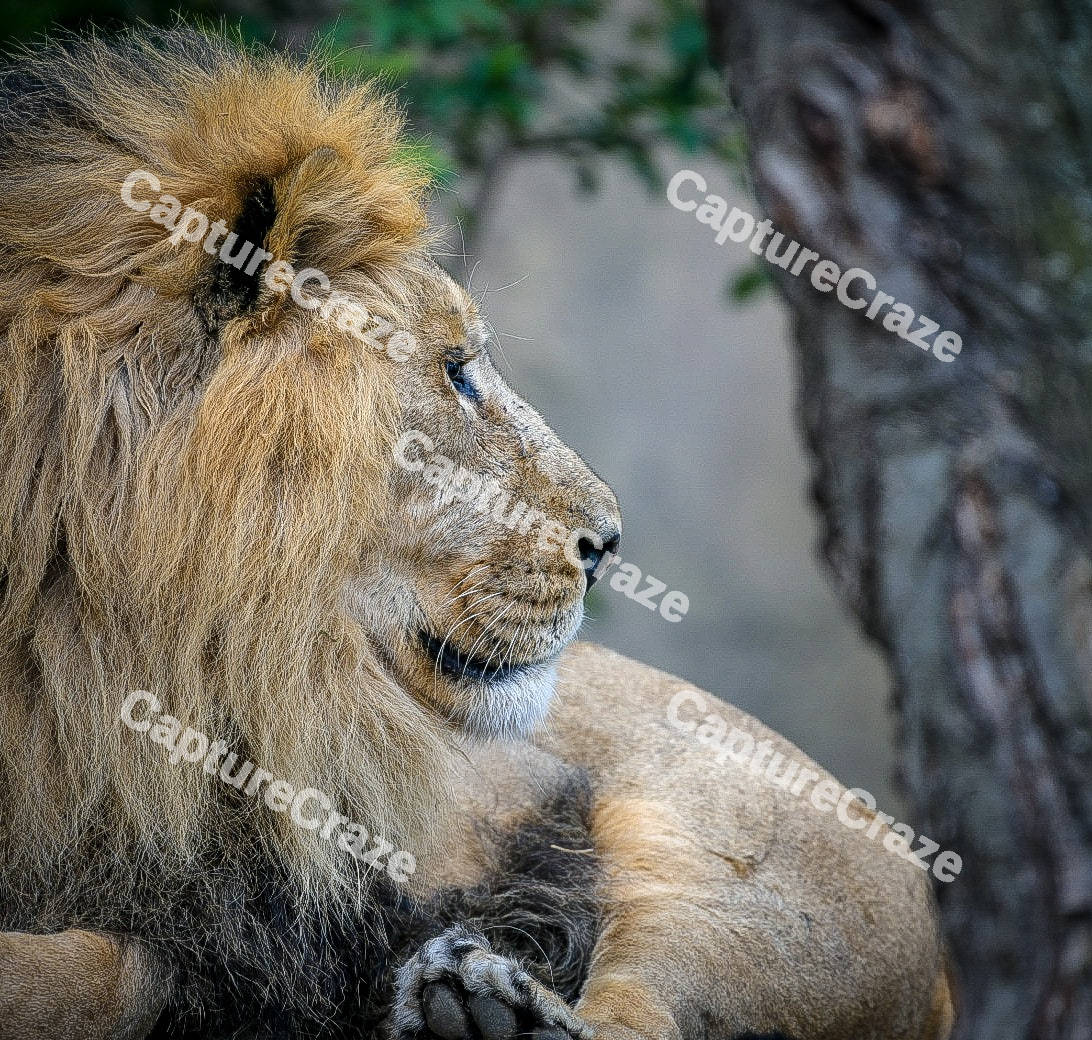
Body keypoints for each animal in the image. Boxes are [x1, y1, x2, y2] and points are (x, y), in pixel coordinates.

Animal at [0, 27, 953, 1040]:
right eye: (457, 372)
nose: (609, 544)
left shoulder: (271, 916)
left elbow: (87, 969)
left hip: (733, 858)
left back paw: (493, 1006)